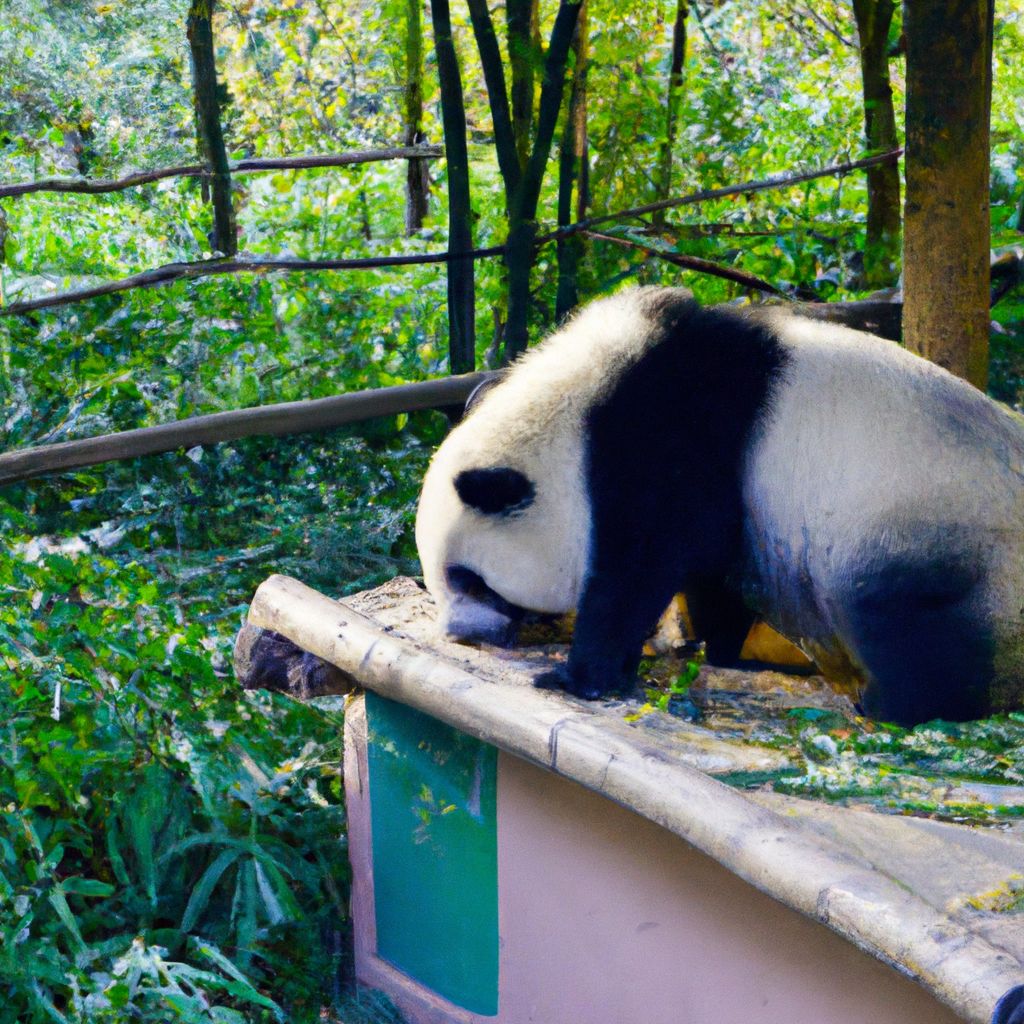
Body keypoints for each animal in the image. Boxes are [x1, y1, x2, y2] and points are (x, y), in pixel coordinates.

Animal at [413, 284, 1024, 724]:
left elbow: (642, 566)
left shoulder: (668, 443)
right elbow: (716, 569)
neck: (574, 414)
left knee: (904, 627)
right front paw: (714, 649)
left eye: (468, 578)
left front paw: (579, 676)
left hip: (929, 531)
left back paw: (885, 706)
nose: (462, 635)